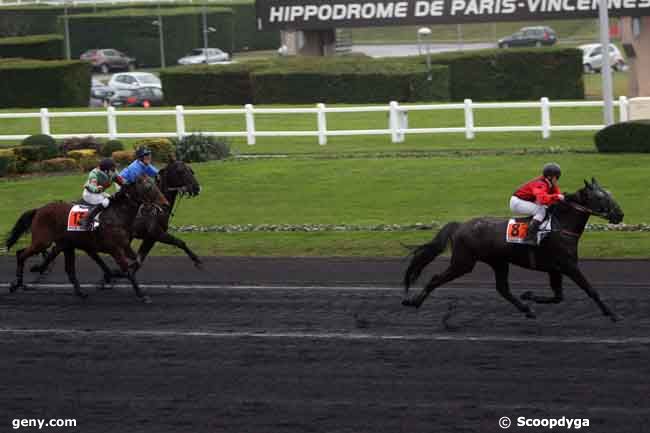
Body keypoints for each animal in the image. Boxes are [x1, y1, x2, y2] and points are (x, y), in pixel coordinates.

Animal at [5, 175, 167, 300]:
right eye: (148, 187)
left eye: (155, 184)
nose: (165, 204)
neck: (117, 215)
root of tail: (39, 210)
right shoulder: (114, 249)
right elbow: (127, 270)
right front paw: (141, 295)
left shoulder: (124, 246)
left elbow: (136, 262)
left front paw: (115, 274)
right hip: (43, 241)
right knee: (21, 254)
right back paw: (17, 283)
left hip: (64, 244)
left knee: (68, 269)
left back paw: (79, 292)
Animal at [400, 178, 624, 320]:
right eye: (601, 197)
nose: (620, 215)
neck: (561, 225)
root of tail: (461, 225)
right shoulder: (569, 266)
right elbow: (590, 290)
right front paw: (612, 314)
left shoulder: (555, 269)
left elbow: (558, 297)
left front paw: (529, 296)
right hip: (463, 262)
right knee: (436, 278)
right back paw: (414, 302)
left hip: (498, 262)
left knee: (503, 289)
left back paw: (527, 309)